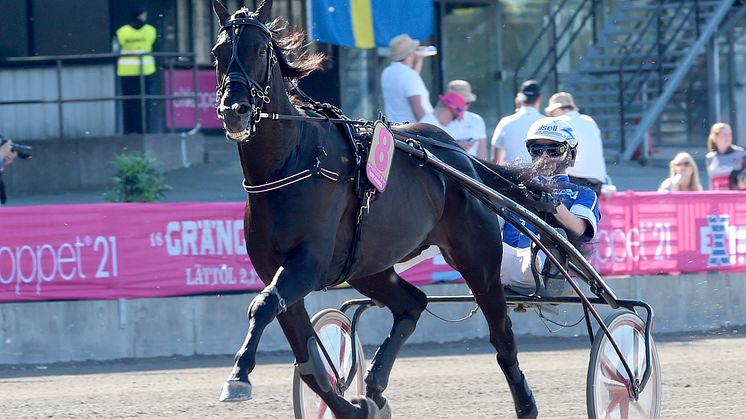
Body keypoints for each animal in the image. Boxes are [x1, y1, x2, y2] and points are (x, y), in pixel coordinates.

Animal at [209, 1, 548, 418]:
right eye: (218, 52)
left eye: (259, 50)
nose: (234, 110)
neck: (290, 163)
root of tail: (457, 155)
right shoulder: (277, 269)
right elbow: (308, 360)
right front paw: (353, 407)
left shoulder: (306, 265)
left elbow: (264, 304)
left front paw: (238, 376)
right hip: (368, 266)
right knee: (413, 305)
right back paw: (374, 382)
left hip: (477, 257)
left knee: (501, 333)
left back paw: (525, 402)